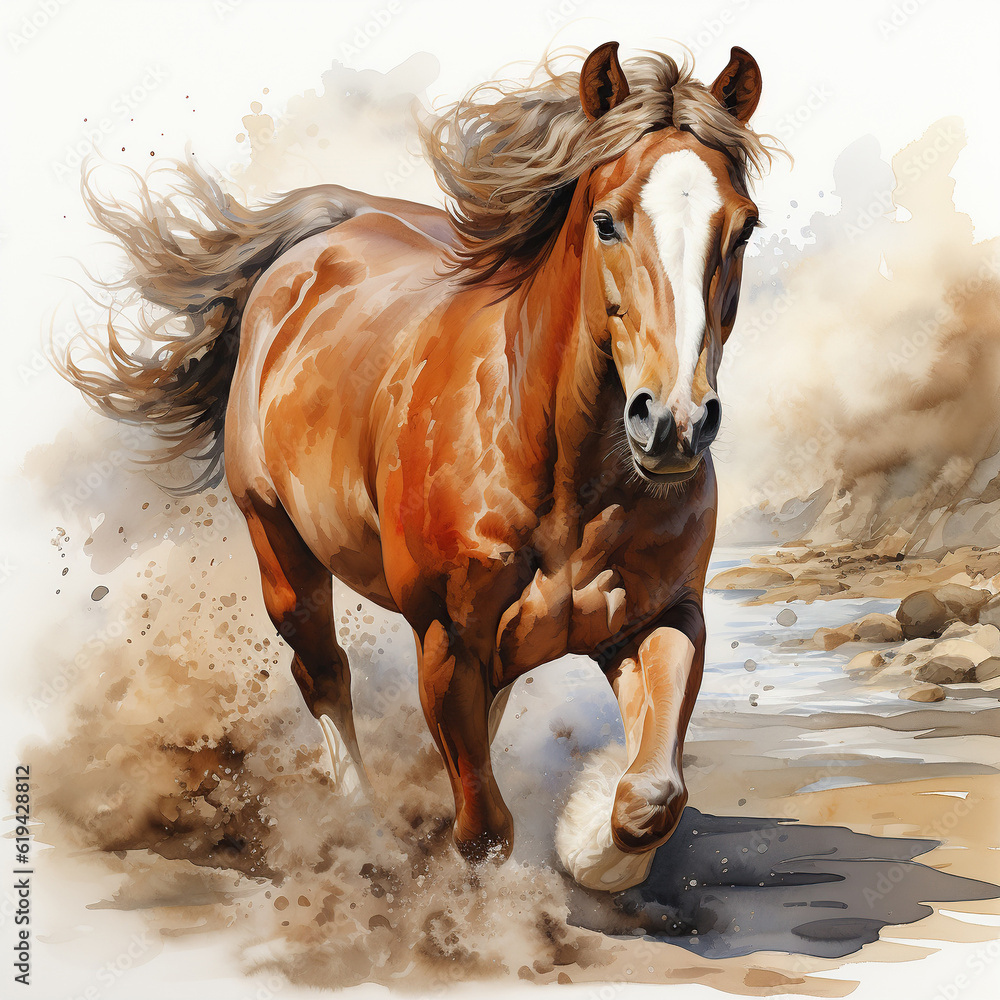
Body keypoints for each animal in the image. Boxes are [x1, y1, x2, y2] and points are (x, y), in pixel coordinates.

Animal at [62, 41, 774, 890]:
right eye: (607, 221)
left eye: (743, 228)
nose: (673, 424)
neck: (559, 472)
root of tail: (332, 229)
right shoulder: (447, 639)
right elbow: (486, 829)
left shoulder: (663, 617)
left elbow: (649, 797)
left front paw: (588, 844)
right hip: (279, 543)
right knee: (323, 673)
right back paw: (364, 832)